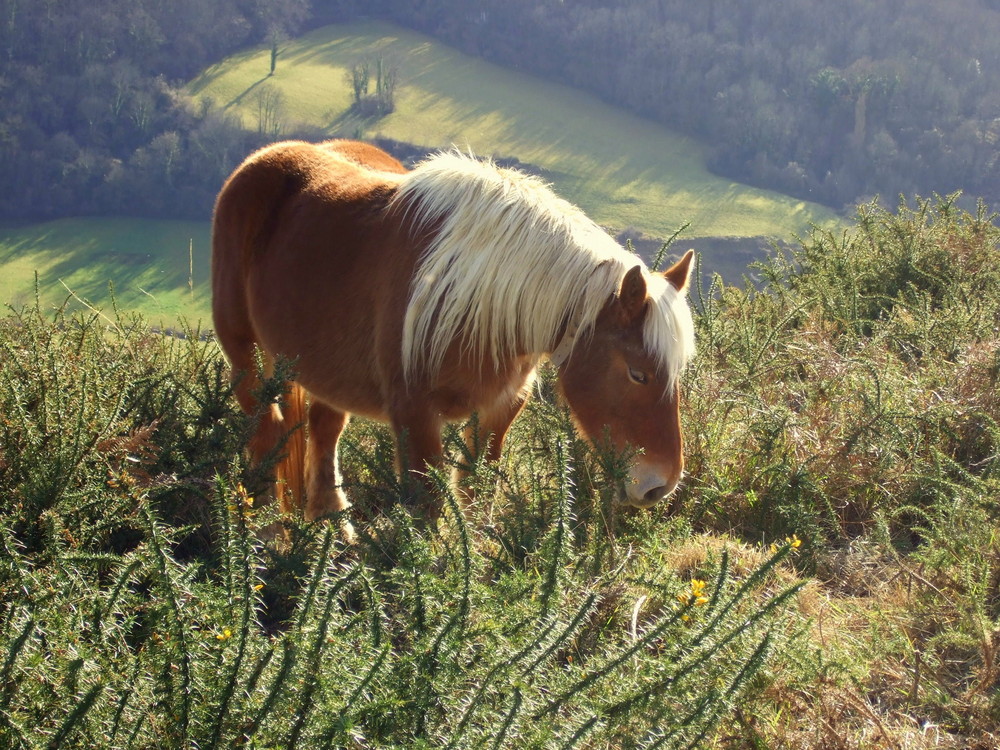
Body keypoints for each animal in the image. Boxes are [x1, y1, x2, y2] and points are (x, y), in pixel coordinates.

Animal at [211, 141, 696, 540]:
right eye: (637, 373)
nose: (660, 486)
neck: (478, 298)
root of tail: (266, 158)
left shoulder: (501, 405)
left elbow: (475, 487)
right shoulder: (414, 414)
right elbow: (428, 506)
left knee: (323, 431)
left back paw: (332, 525)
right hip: (243, 351)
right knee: (266, 428)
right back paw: (269, 530)